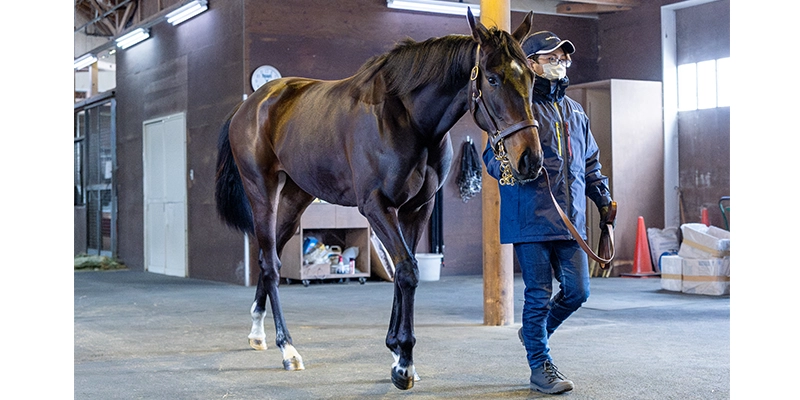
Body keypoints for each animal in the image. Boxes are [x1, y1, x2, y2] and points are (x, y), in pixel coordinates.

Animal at [214, 9, 542, 390]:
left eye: (531, 78)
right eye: (491, 78)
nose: (530, 159)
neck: (408, 119)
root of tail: (249, 104)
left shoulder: (418, 209)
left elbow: (403, 270)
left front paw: (396, 351)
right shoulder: (375, 206)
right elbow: (407, 271)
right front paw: (404, 365)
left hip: (296, 199)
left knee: (271, 259)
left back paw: (257, 333)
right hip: (262, 191)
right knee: (269, 262)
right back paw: (288, 349)